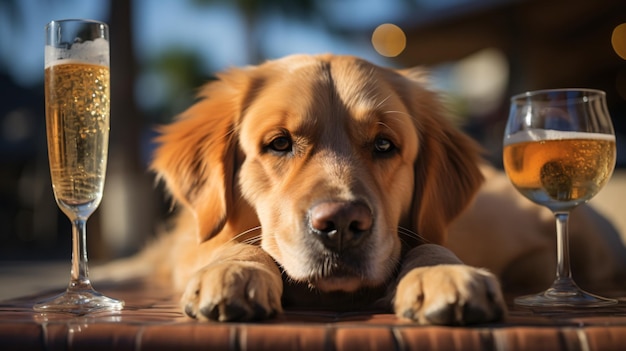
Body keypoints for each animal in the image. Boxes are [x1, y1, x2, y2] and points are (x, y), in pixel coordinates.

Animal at [107, 53, 624, 326]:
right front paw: (236, 270)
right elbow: (236, 246)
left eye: (384, 144)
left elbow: (428, 246)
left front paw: (444, 275)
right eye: (279, 143)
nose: (340, 224)